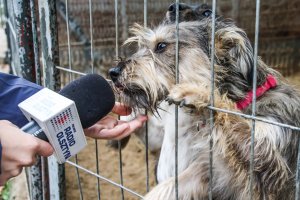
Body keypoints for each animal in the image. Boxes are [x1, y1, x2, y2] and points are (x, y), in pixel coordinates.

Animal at [109, 3, 300, 200]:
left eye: (161, 45)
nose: (113, 72)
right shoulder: (207, 170)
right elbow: (165, 188)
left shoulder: (273, 168)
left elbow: (237, 122)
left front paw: (198, 93)